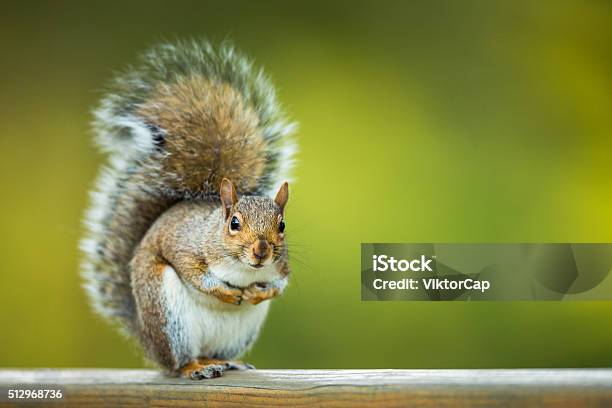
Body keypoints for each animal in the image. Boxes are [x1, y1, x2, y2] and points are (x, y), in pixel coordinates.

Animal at [80, 40, 296, 380]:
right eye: (234, 224)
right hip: (167, 315)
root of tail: (146, 337)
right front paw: (227, 293)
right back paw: (194, 367)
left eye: (282, 225)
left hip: (237, 333)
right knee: (177, 362)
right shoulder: (185, 246)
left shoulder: (282, 266)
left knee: (212, 353)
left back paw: (224, 362)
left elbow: (279, 284)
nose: (261, 251)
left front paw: (257, 293)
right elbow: (195, 274)